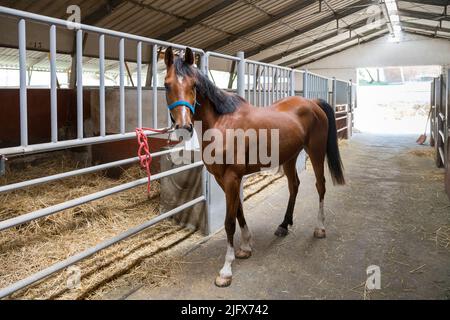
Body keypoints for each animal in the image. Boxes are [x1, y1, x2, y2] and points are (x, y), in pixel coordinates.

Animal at [164, 47, 344, 288]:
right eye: (167, 85)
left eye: (194, 85)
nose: (184, 126)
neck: (222, 123)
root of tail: (313, 102)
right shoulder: (224, 179)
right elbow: (239, 210)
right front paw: (246, 247)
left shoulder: (232, 177)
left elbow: (229, 221)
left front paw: (226, 270)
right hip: (289, 157)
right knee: (294, 185)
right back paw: (284, 225)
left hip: (315, 152)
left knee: (320, 185)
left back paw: (320, 228)